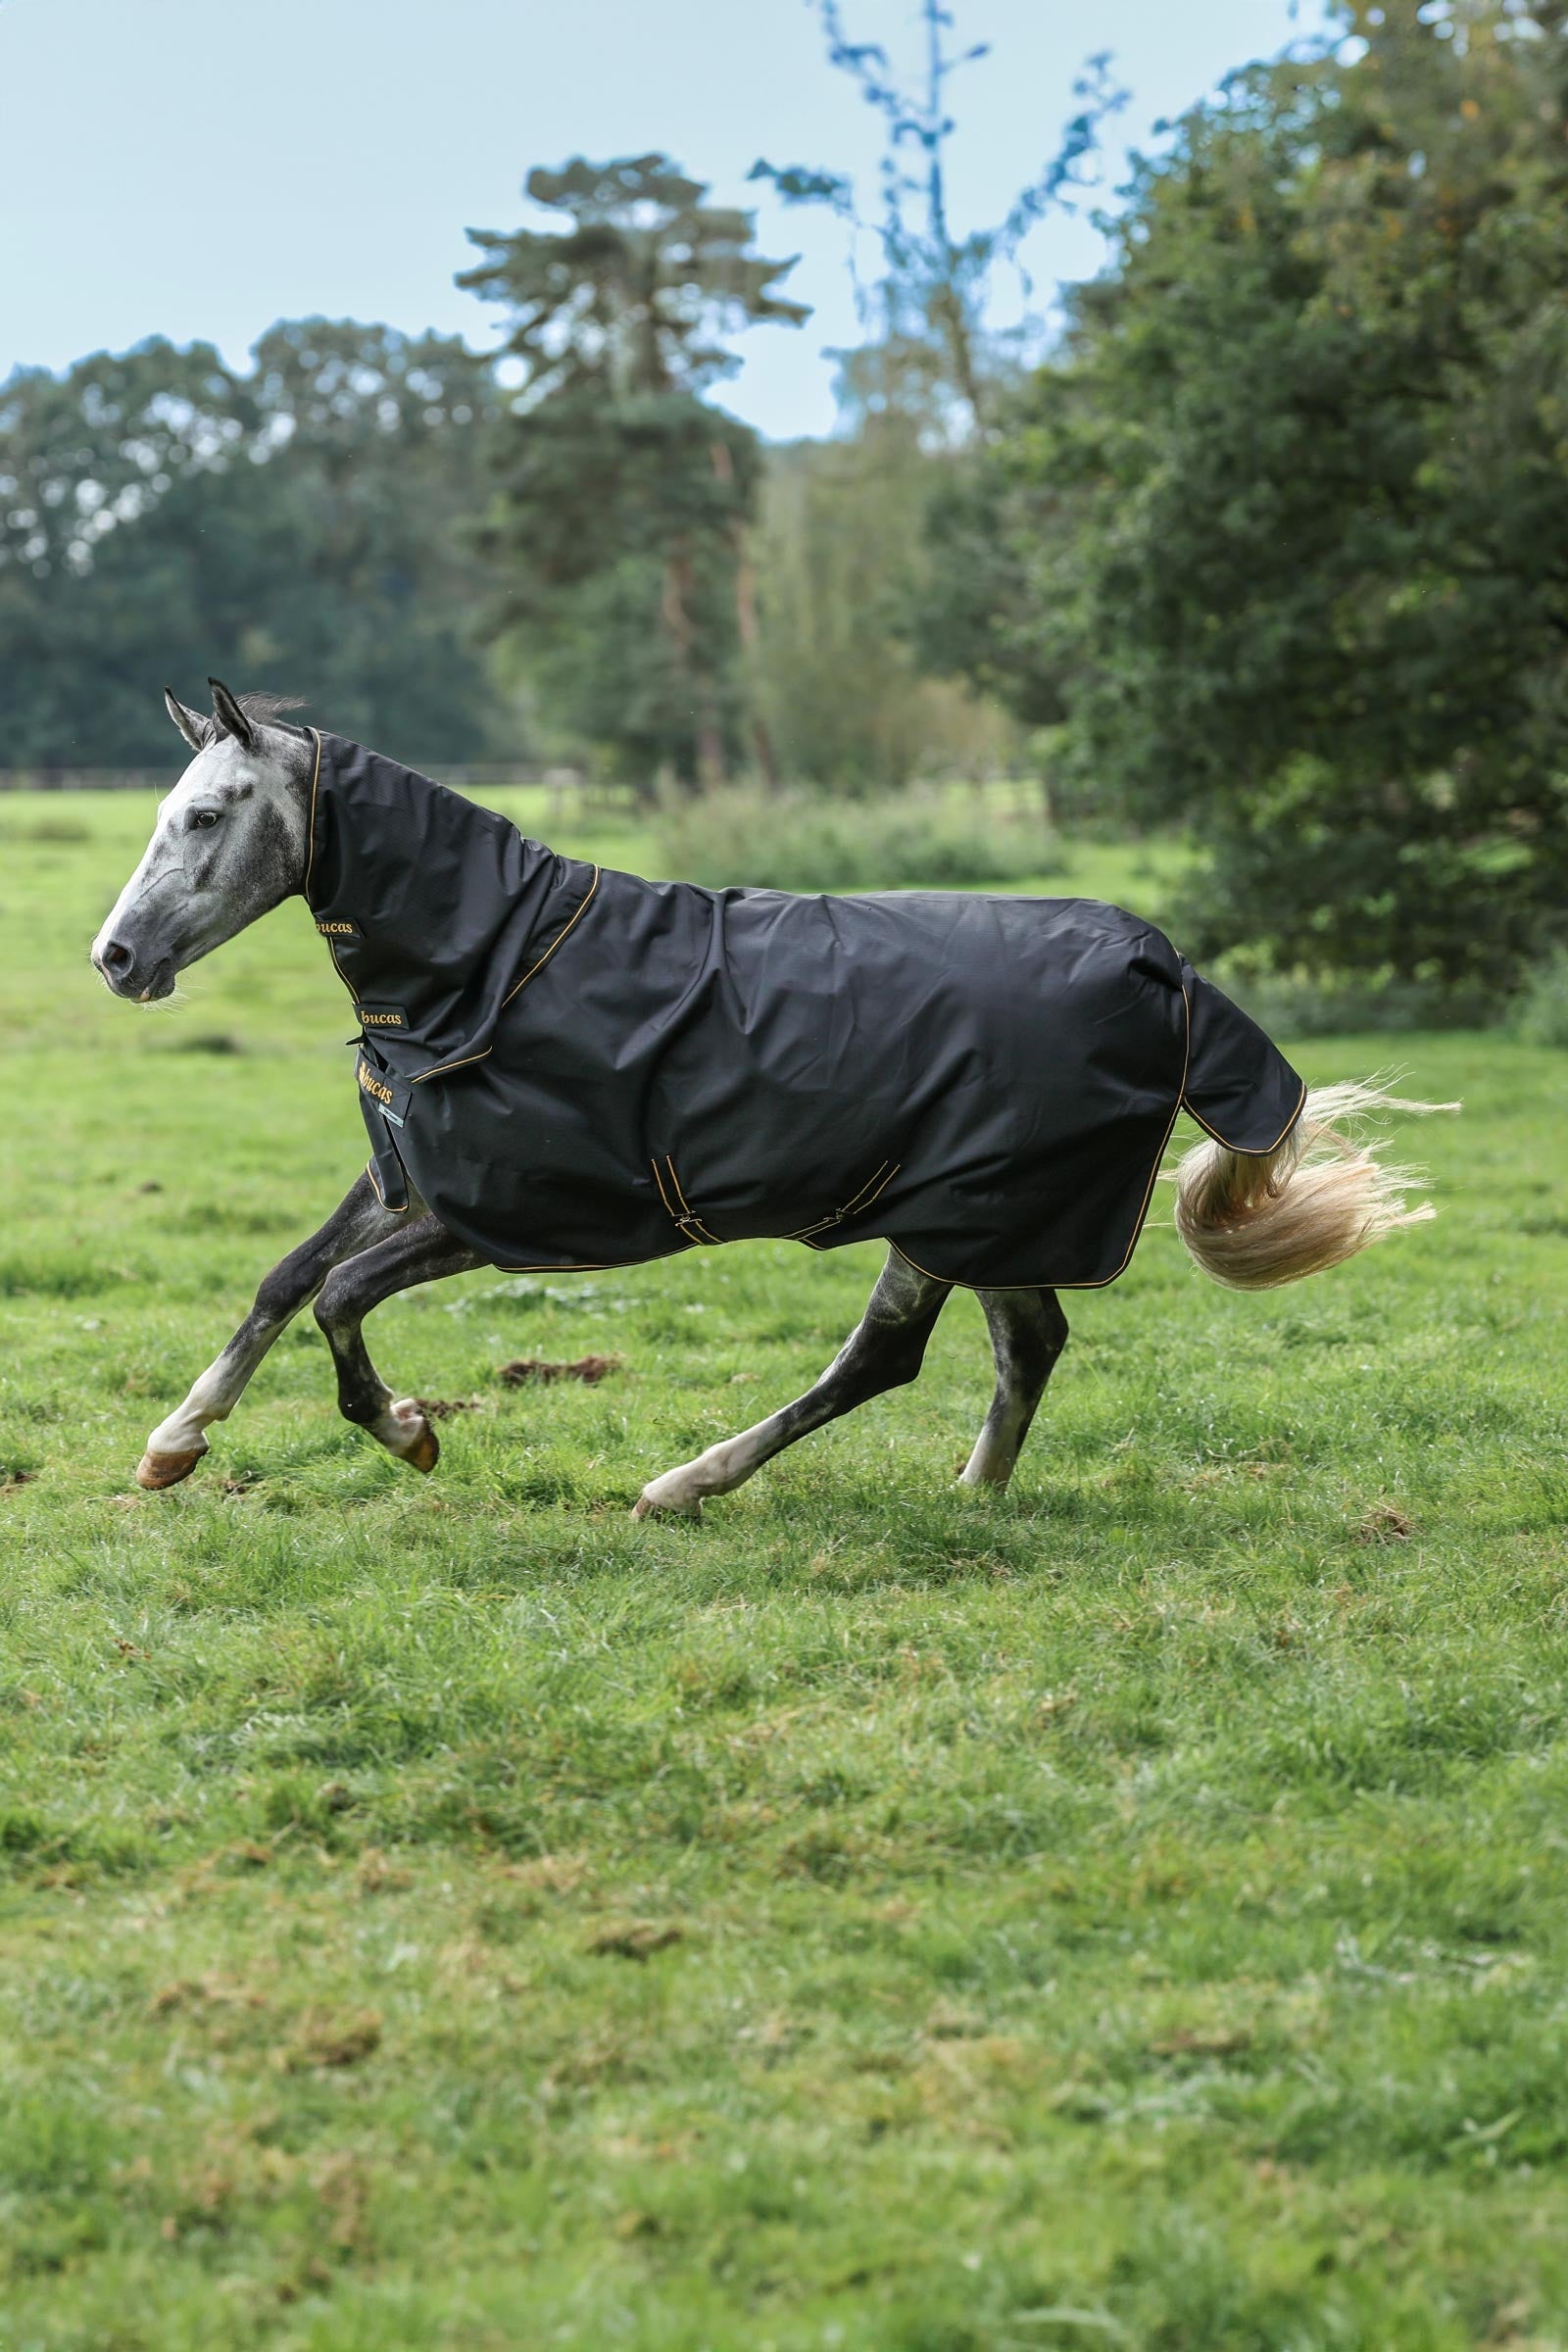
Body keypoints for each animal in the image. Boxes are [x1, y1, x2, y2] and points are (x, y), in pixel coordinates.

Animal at [91, 680, 1448, 1516]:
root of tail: (1167, 971)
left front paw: (409, 1430)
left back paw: (687, 1486)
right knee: (1026, 1344)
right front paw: (172, 1447)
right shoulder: (420, 1176)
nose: (116, 958)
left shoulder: (515, 1211)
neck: (492, 968)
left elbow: (339, 1299)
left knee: (887, 1357)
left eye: (204, 815)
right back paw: (973, 1496)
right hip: (985, 1216)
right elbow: (283, 1279)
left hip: (951, 1211)